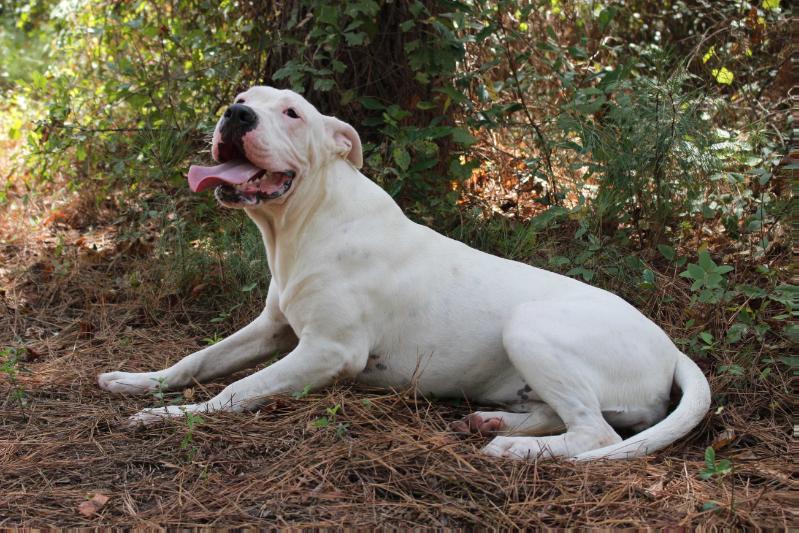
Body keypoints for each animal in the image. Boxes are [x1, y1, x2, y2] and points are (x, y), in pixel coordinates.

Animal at [100, 85, 712, 460]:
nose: (236, 115)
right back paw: (495, 425)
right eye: (242, 100)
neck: (305, 220)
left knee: (595, 432)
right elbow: (198, 359)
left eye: (293, 113)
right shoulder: (272, 327)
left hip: (532, 328)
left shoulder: (329, 351)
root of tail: (672, 349)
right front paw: (140, 382)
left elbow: (237, 390)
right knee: (561, 415)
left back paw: (514, 448)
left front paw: (172, 416)